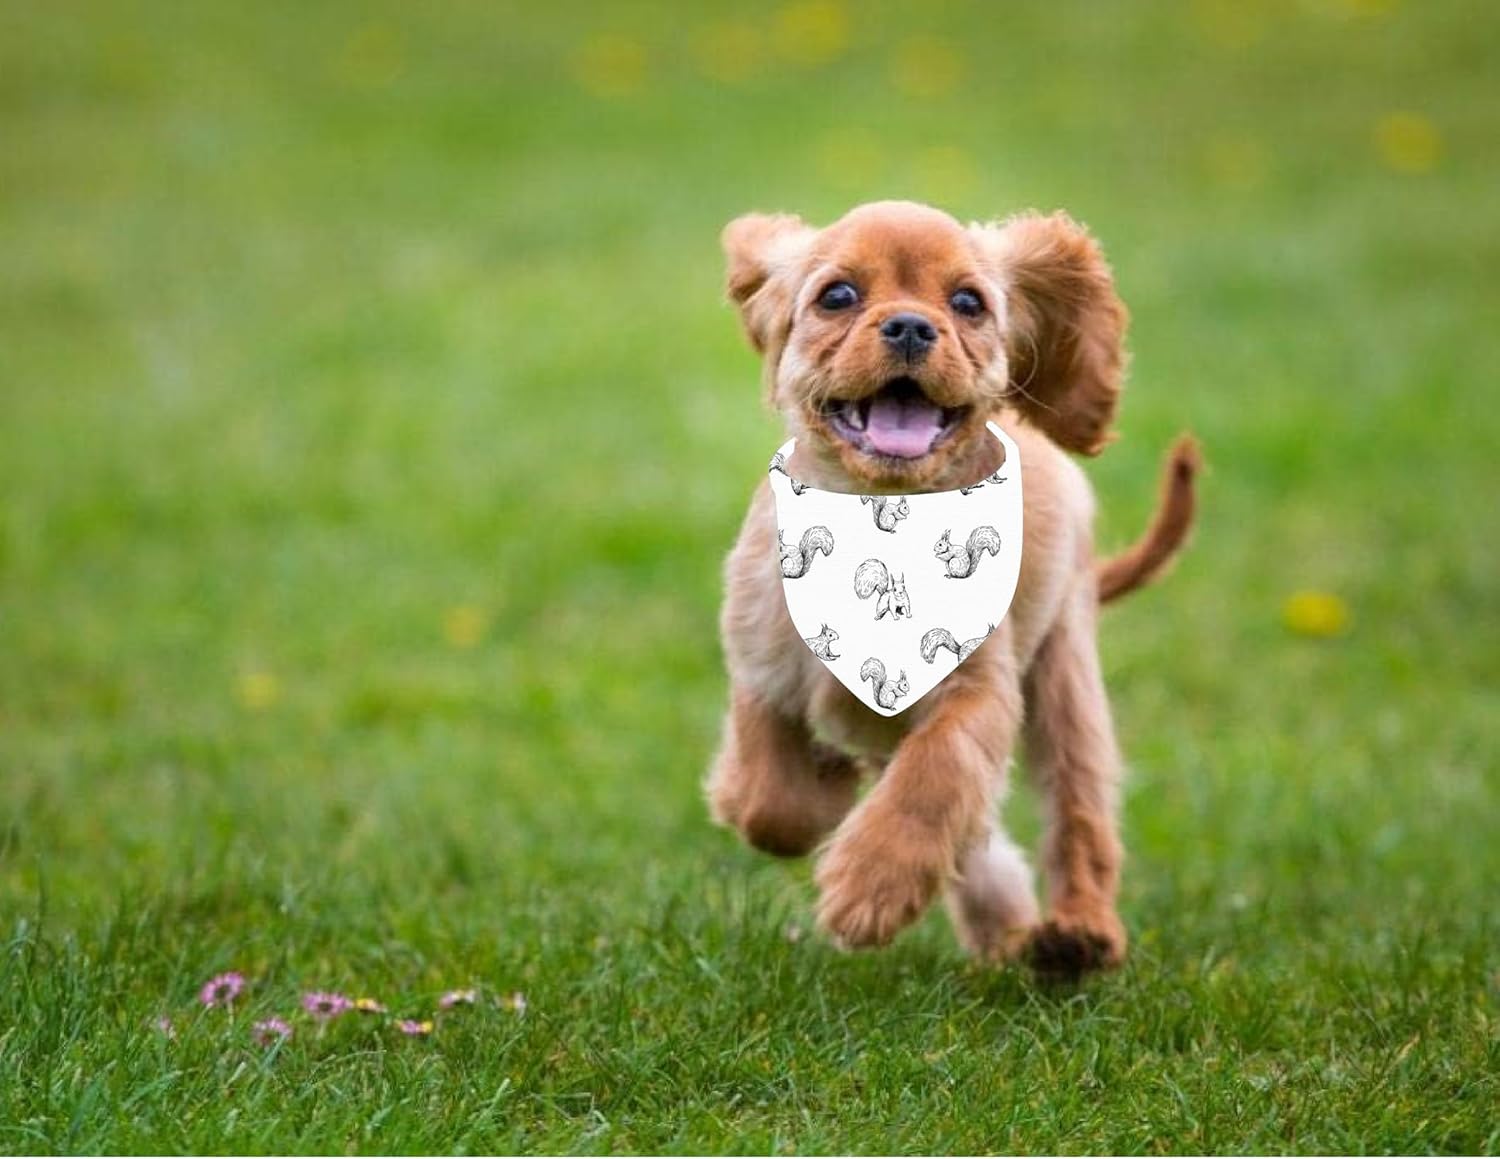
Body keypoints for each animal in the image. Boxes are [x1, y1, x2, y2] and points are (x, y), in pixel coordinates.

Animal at [705, 200, 1198, 976]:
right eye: (837, 295)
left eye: (968, 302)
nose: (910, 325)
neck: (882, 516)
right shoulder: (762, 660)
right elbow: (766, 799)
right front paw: (824, 788)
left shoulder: (979, 688)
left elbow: (936, 776)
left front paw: (870, 885)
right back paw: (1008, 928)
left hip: (1066, 673)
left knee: (1077, 816)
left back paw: (1076, 934)